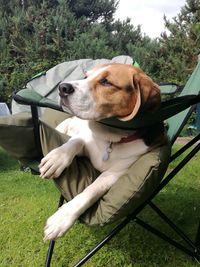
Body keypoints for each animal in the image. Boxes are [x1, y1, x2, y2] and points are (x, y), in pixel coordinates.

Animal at [38, 63, 166, 242]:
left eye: (106, 82)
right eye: (86, 77)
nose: (62, 87)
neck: (112, 138)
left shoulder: (116, 174)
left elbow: (92, 191)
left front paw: (62, 219)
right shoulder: (86, 139)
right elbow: (77, 141)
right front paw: (57, 158)